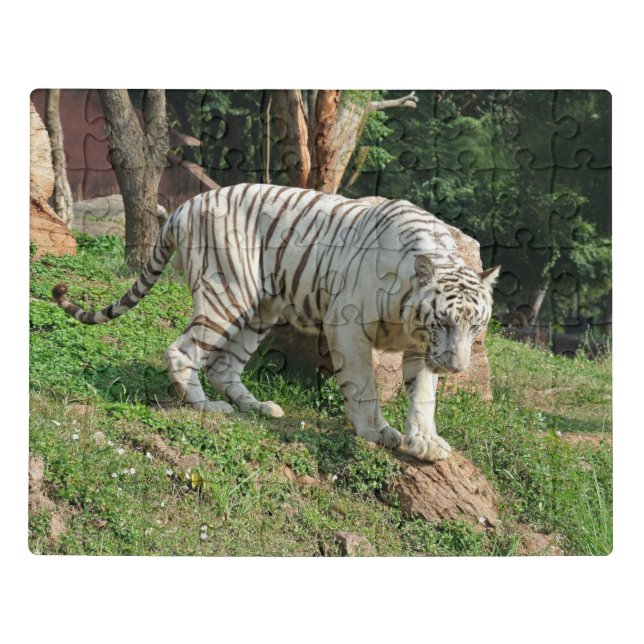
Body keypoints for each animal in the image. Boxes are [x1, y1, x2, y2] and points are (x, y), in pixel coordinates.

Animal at [52, 183, 499, 462]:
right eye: (443, 322)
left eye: (475, 327)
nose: (457, 367)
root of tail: (183, 206)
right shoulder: (348, 326)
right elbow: (364, 386)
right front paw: (375, 431)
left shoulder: (420, 346)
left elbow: (423, 395)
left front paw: (425, 442)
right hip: (227, 291)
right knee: (183, 351)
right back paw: (206, 406)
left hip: (259, 309)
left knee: (223, 364)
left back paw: (259, 407)